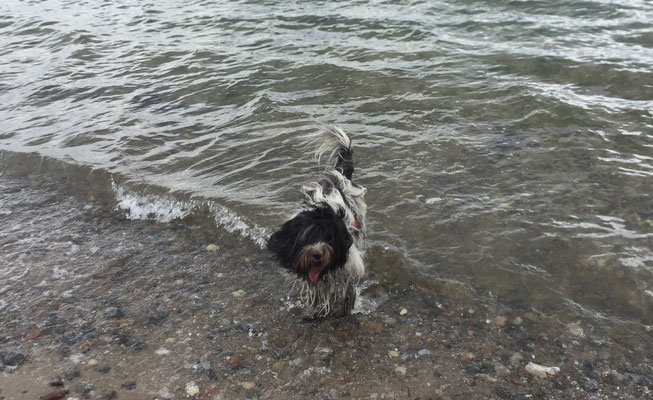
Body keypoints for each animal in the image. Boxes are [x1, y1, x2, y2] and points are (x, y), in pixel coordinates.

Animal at [266, 128, 366, 318]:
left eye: (329, 238)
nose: (317, 254)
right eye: (306, 239)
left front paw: (345, 306)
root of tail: (339, 172)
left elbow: (347, 285)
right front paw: (312, 309)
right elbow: (315, 288)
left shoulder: (349, 259)